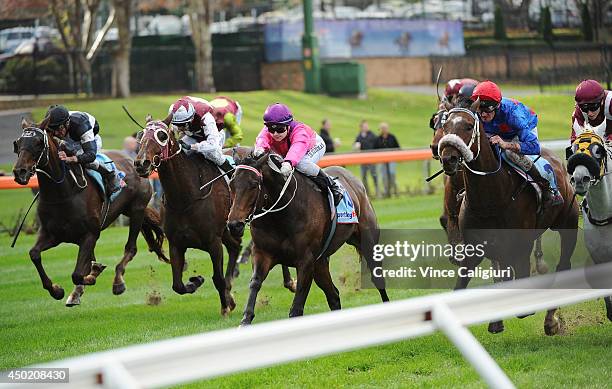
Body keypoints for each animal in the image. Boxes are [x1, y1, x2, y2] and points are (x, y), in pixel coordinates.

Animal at [12, 116, 167, 304]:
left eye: (37, 143)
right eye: (18, 143)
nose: (20, 172)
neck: (63, 193)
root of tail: (135, 160)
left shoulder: (90, 234)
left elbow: (78, 274)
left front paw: (91, 276)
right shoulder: (52, 234)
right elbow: (34, 254)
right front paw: (57, 290)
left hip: (137, 210)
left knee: (131, 248)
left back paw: (118, 282)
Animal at [227, 152, 390, 324]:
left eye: (253, 184)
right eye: (231, 184)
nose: (234, 225)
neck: (280, 217)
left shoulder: (306, 261)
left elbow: (297, 305)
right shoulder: (262, 254)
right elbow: (255, 283)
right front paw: (245, 320)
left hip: (367, 243)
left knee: (377, 279)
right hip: (320, 263)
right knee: (333, 295)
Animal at [440, 102, 580, 334]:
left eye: (468, 126)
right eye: (444, 126)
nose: (448, 158)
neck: (490, 199)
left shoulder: (518, 246)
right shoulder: (475, 248)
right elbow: (462, 285)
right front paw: (495, 321)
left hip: (568, 224)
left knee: (563, 265)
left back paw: (551, 320)